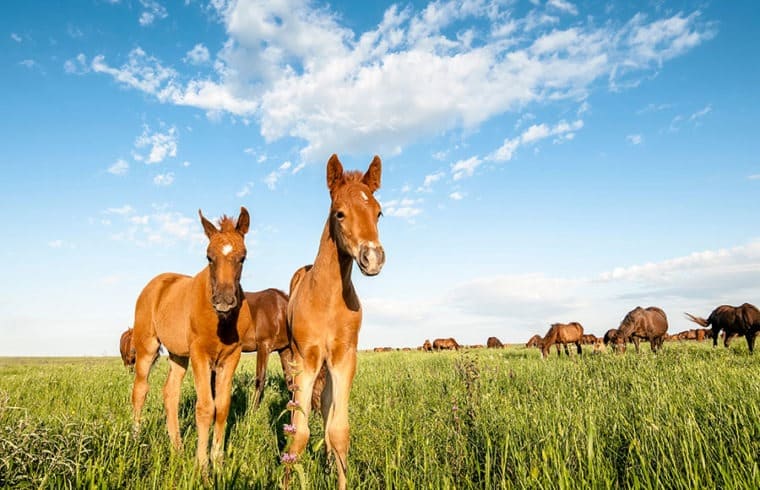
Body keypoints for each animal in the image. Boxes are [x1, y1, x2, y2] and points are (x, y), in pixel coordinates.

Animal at [132, 206, 254, 468]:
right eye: (209, 257)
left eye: (243, 257)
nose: (224, 300)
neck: (221, 323)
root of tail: (155, 284)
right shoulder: (200, 355)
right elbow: (206, 408)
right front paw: (202, 465)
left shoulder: (231, 357)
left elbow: (222, 407)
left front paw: (218, 461)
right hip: (147, 346)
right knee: (140, 390)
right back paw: (135, 439)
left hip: (178, 355)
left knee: (170, 394)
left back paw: (177, 447)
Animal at [286, 154, 386, 490]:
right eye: (339, 213)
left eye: (379, 213)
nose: (373, 258)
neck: (327, 299)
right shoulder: (306, 358)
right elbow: (299, 434)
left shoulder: (344, 357)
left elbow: (339, 431)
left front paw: (336, 471)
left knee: (327, 405)